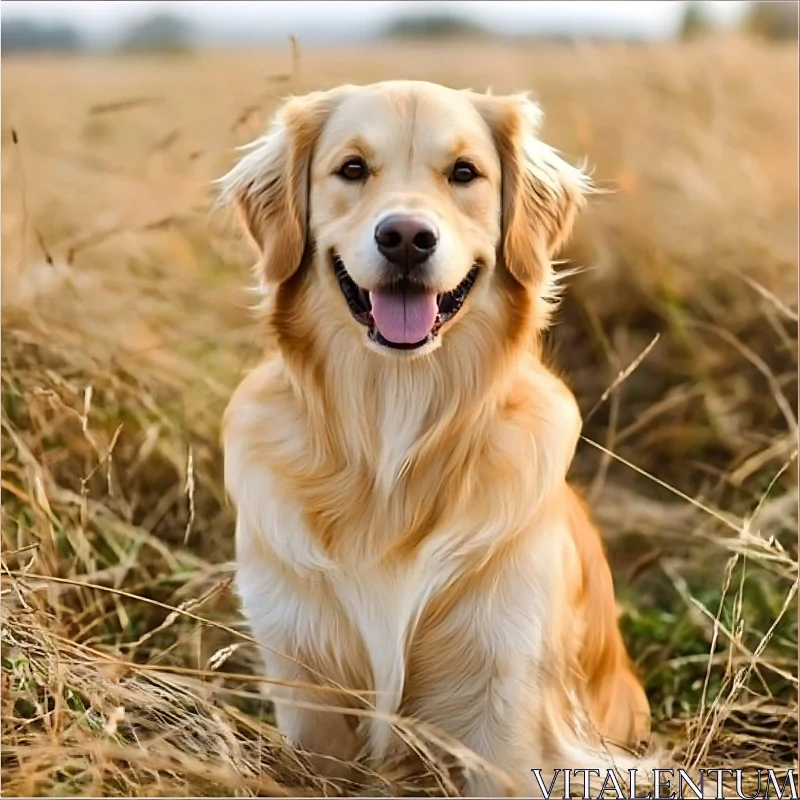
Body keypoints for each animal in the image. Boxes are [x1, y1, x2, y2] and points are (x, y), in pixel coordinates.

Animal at [217, 79, 648, 792]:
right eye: (352, 169)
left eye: (464, 173)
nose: (406, 237)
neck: (396, 422)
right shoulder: (305, 681)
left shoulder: (503, 694)